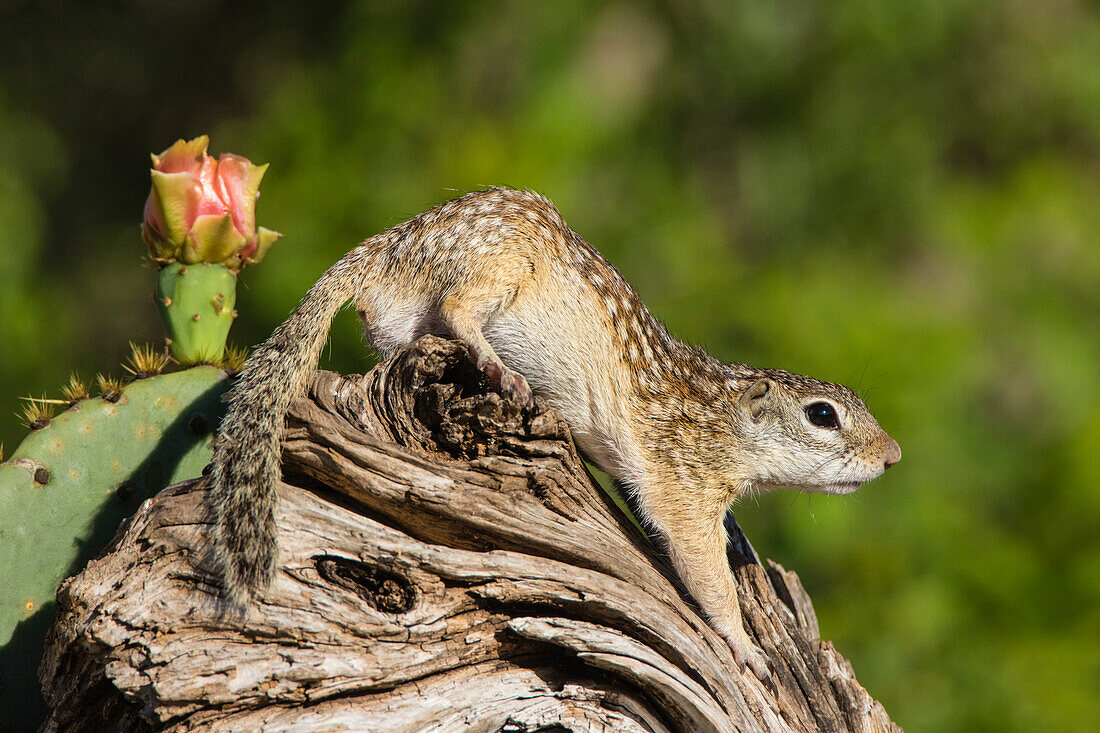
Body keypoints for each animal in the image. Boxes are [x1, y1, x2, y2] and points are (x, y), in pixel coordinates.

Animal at [210, 186, 897, 682]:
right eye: (823, 415)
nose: (892, 456)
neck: (723, 419)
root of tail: (386, 249)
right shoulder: (684, 487)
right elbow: (707, 574)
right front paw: (747, 649)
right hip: (500, 259)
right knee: (458, 307)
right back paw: (498, 366)